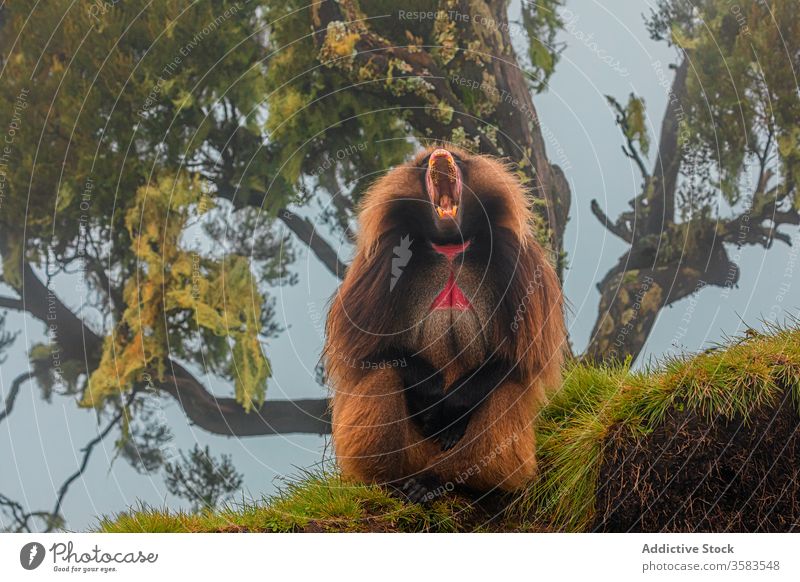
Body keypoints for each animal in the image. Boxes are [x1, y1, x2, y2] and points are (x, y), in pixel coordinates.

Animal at [324, 147, 564, 506]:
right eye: (423, 162)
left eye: (460, 159)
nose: (441, 152)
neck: (450, 246)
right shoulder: (381, 259)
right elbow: (366, 352)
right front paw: (434, 397)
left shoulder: (517, 258)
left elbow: (520, 358)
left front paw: (450, 409)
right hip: (414, 452)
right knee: (384, 372)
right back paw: (391, 483)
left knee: (505, 388)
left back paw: (443, 479)